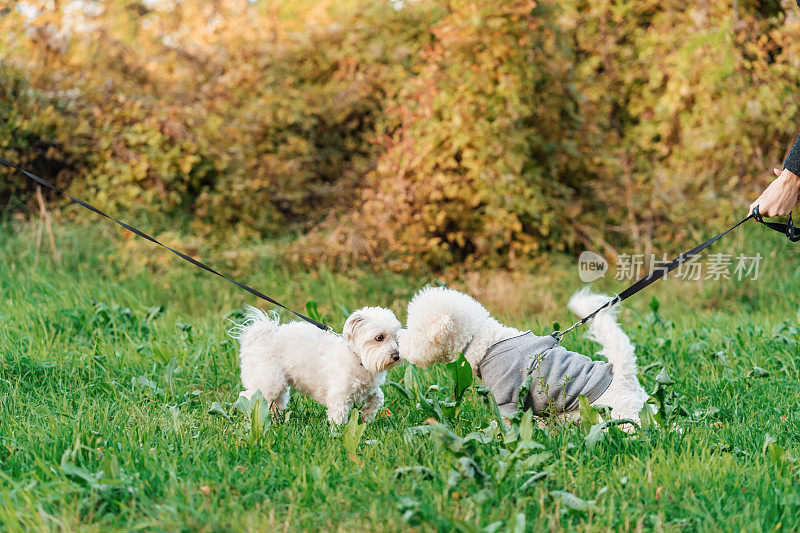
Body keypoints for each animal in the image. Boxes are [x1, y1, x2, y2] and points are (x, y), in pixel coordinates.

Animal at [234, 308, 404, 424]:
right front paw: (337, 435)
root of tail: (258, 337)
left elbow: (378, 397)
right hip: (268, 382)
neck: (358, 358)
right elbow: (338, 417)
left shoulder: (370, 389)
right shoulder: (339, 396)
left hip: (279, 386)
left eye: (397, 338)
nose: (397, 355)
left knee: (275, 404)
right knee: (249, 397)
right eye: (379, 337)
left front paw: (366, 417)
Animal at [400, 286, 648, 424]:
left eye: (414, 328)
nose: (399, 343)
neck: (484, 341)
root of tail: (621, 374)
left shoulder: (507, 399)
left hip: (620, 416)